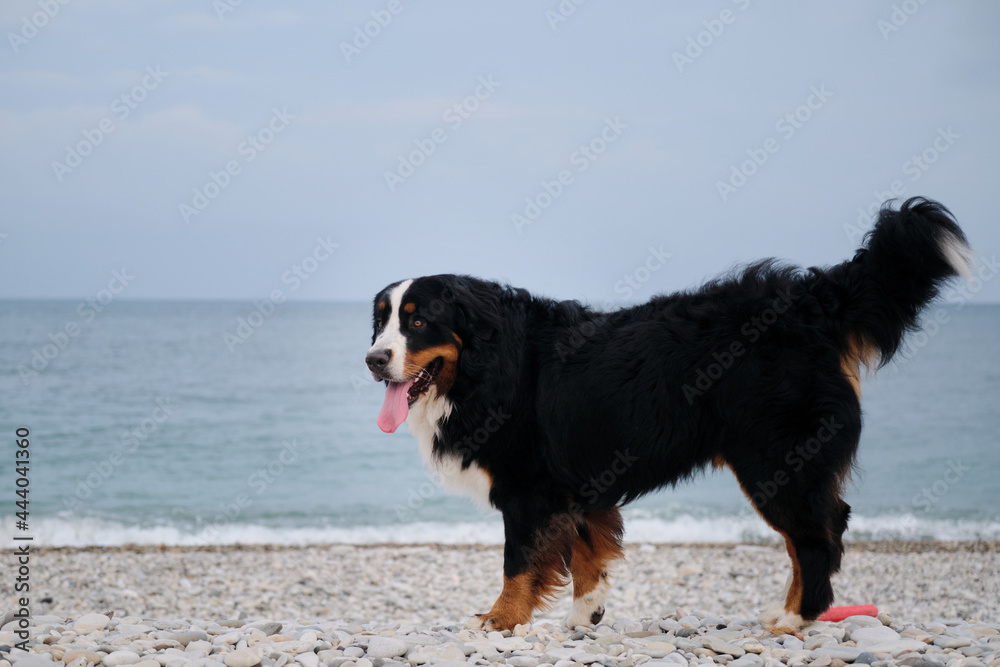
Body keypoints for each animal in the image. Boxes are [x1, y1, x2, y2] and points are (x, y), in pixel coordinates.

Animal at [366, 197, 968, 632]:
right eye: (380, 321)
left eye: (418, 322)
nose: (374, 359)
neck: (487, 363)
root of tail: (809, 301)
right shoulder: (575, 481)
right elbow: (588, 553)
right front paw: (586, 614)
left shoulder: (528, 488)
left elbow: (518, 562)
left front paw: (500, 618)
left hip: (775, 459)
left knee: (817, 536)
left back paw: (796, 616)